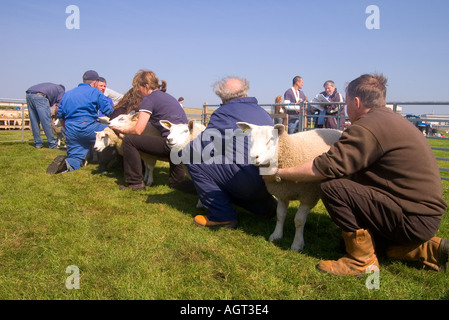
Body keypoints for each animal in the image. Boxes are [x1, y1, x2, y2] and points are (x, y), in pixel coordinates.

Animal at [236, 122, 342, 250]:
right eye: (250, 139)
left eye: (271, 139)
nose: (253, 157)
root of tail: (337, 130)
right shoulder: (282, 193)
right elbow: (280, 215)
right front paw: (276, 235)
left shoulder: (308, 196)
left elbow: (299, 220)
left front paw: (297, 244)